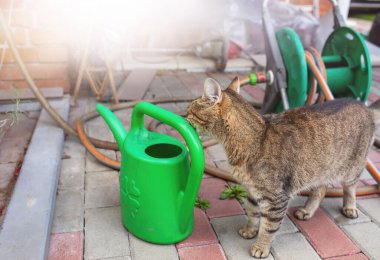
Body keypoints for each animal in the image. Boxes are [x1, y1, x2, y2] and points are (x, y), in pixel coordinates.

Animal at [186, 76, 378, 258]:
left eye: (190, 111)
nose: (184, 116)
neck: (251, 140)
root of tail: (364, 106)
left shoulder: (276, 199)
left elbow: (268, 227)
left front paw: (261, 247)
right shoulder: (253, 191)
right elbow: (252, 213)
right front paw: (249, 230)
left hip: (352, 167)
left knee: (350, 188)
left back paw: (350, 207)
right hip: (320, 170)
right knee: (321, 190)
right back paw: (307, 210)